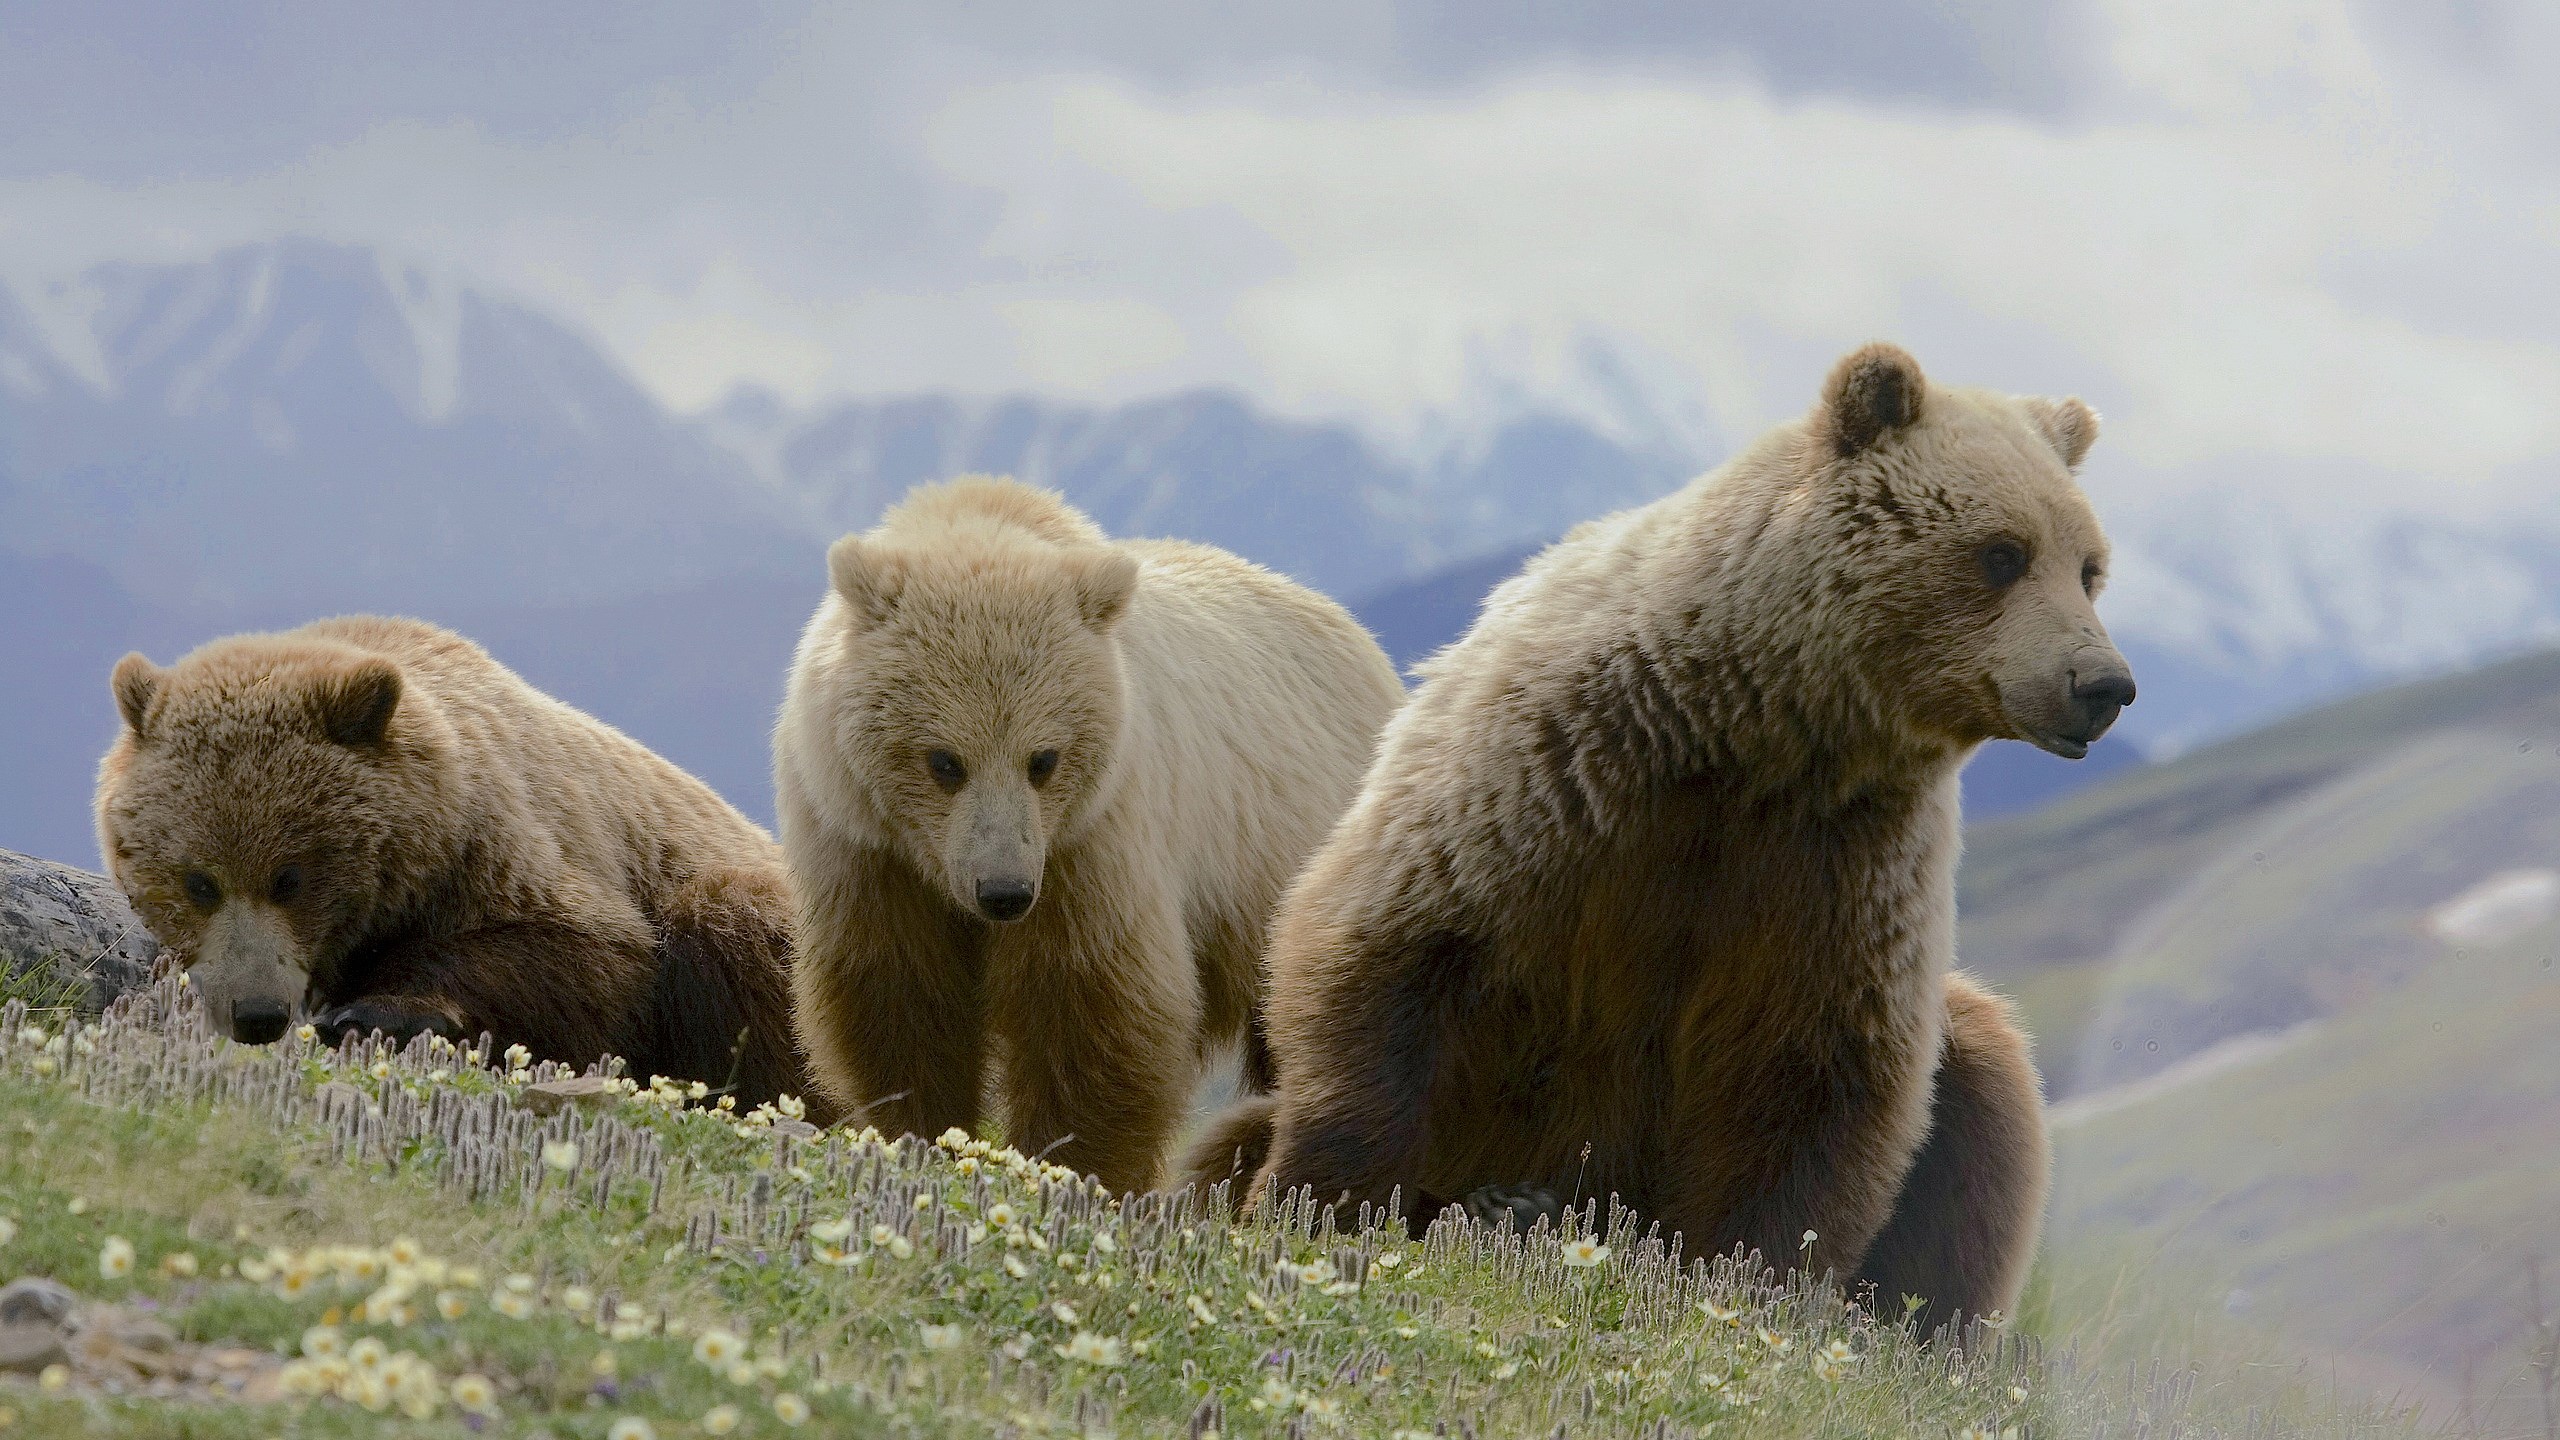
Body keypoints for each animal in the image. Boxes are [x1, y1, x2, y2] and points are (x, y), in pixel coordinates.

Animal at [96, 615, 832, 1119]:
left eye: (289, 877)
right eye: (200, 881)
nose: (257, 1013)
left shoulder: (512, 842)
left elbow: (586, 954)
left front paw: (375, 1011)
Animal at [775, 477, 1405, 1194]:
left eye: (1043, 759)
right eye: (944, 761)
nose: (1003, 892)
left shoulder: (1092, 841)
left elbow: (1090, 1008)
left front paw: (1071, 1166)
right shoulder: (865, 847)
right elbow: (899, 998)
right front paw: (920, 1133)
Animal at [1181, 343, 2133, 1329]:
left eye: (2090, 566)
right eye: (2002, 553)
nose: (2103, 683)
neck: (1752, 729)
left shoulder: (1840, 862)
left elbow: (1816, 1079)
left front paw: (1741, 1281)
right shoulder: (1553, 777)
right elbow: (1388, 951)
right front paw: (1316, 1203)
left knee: (1982, 1090)